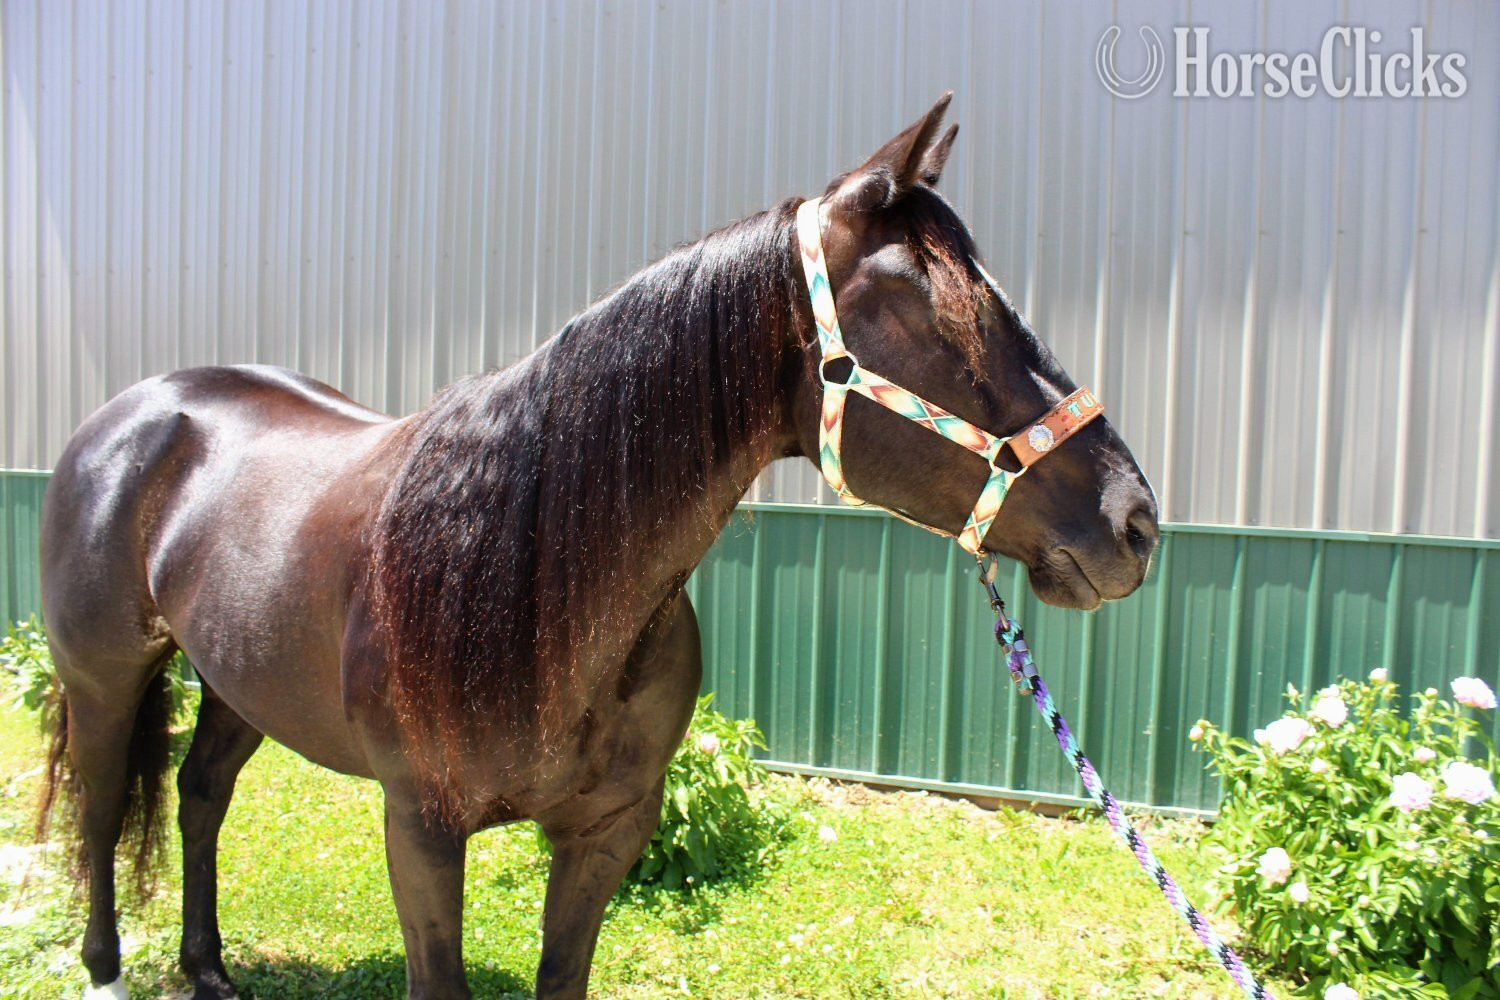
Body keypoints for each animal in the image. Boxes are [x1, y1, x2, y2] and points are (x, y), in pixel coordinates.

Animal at [37, 94, 1158, 999]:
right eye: (944, 317)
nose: (1134, 521)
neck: (534, 576)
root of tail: (137, 411)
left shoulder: (609, 830)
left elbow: (561, 975)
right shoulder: (420, 828)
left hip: (241, 679)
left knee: (199, 798)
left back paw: (209, 968)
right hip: (103, 677)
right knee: (99, 814)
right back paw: (104, 969)